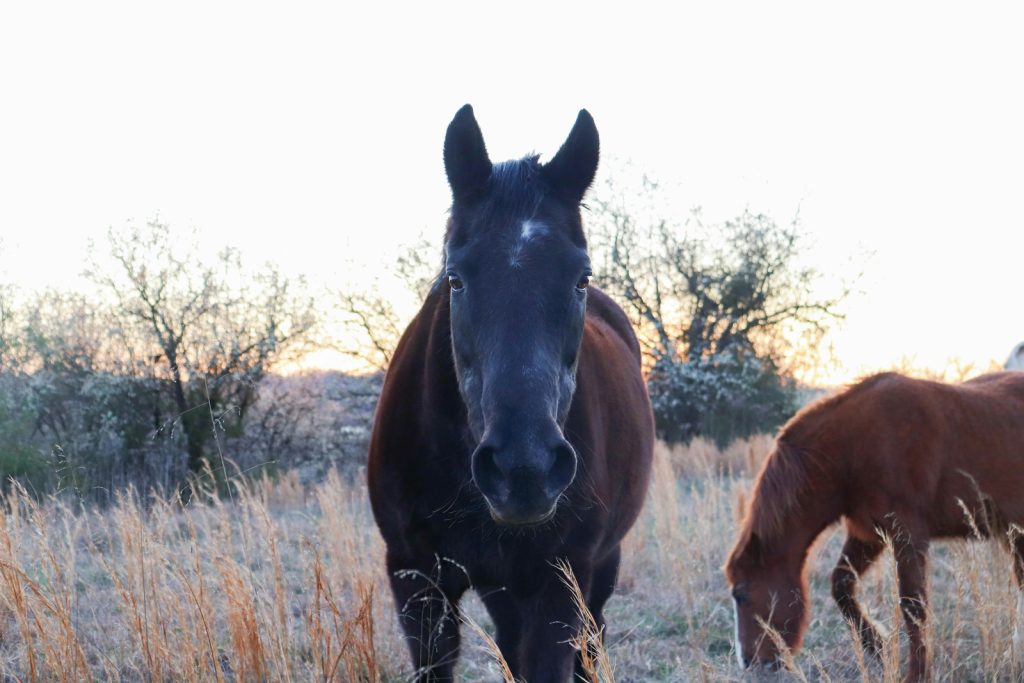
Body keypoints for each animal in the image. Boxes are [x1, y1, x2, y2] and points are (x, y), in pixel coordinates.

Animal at [367, 105, 654, 682]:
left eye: (581, 278)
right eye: (455, 278)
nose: (526, 469)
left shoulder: (560, 583)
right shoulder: (415, 582)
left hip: (597, 569)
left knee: (592, 642)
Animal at [725, 371, 1024, 682]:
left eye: (741, 595)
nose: (750, 662)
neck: (853, 448)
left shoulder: (908, 536)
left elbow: (913, 605)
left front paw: (917, 674)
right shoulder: (869, 535)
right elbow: (842, 586)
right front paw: (879, 647)